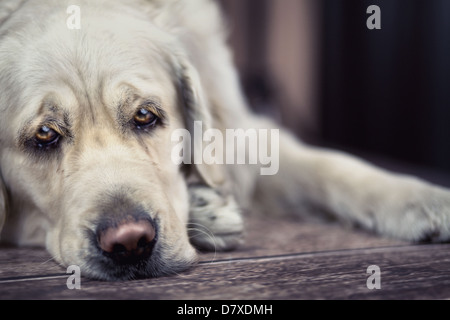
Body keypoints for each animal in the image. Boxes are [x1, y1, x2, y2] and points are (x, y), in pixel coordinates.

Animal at [0, 0, 450, 280]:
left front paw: (422, 198)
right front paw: (206, 210)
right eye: (45, 135)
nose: (129, 242)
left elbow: (332, 166)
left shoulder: (245, 137)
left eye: (145, 116)